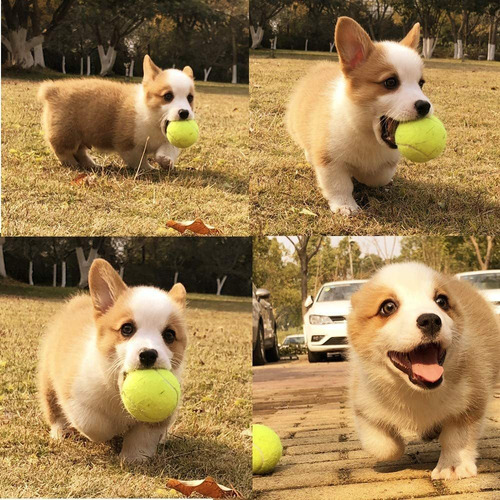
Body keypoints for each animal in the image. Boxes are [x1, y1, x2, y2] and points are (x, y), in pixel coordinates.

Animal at [38, 56, 195, 171]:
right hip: (67, 134)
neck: (153, 120)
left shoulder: (167, 140)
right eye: (168, 96)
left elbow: (169, 148)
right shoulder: (128, 145)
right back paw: (72, 163)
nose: (184, 113)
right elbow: (138, 160)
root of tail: (53, 90)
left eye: (190, 98)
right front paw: (148, 168)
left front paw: (165, 161)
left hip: (81, 137)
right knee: (62, 150)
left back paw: (92, 164)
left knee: (80, 152)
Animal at [38, 260, 188, 462]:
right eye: (127, 329)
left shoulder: (158, 419)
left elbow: (143, 438)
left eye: (169, 335)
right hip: (48, 381)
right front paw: (113, 434)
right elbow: (95, 425)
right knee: (53, 409)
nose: (148, 354)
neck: (118, 393)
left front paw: (133, 459)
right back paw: (60, 432)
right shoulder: (75, 397)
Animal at [288, 16, 432, 213]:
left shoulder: (386, 164)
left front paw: (363, 175)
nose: (425, 106)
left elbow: (379, 177)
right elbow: (339, 185)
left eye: (421, 83)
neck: (366, 133)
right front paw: (345, 207)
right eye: (390, 82)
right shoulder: (330, 160)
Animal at [348, 264, 500, 478]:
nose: (430, 320)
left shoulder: (471, 401)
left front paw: (453, 467)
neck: (416, 393)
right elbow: (384, 446)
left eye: (441, 301)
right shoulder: (363, 404)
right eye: (388, 307)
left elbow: (457, 438)